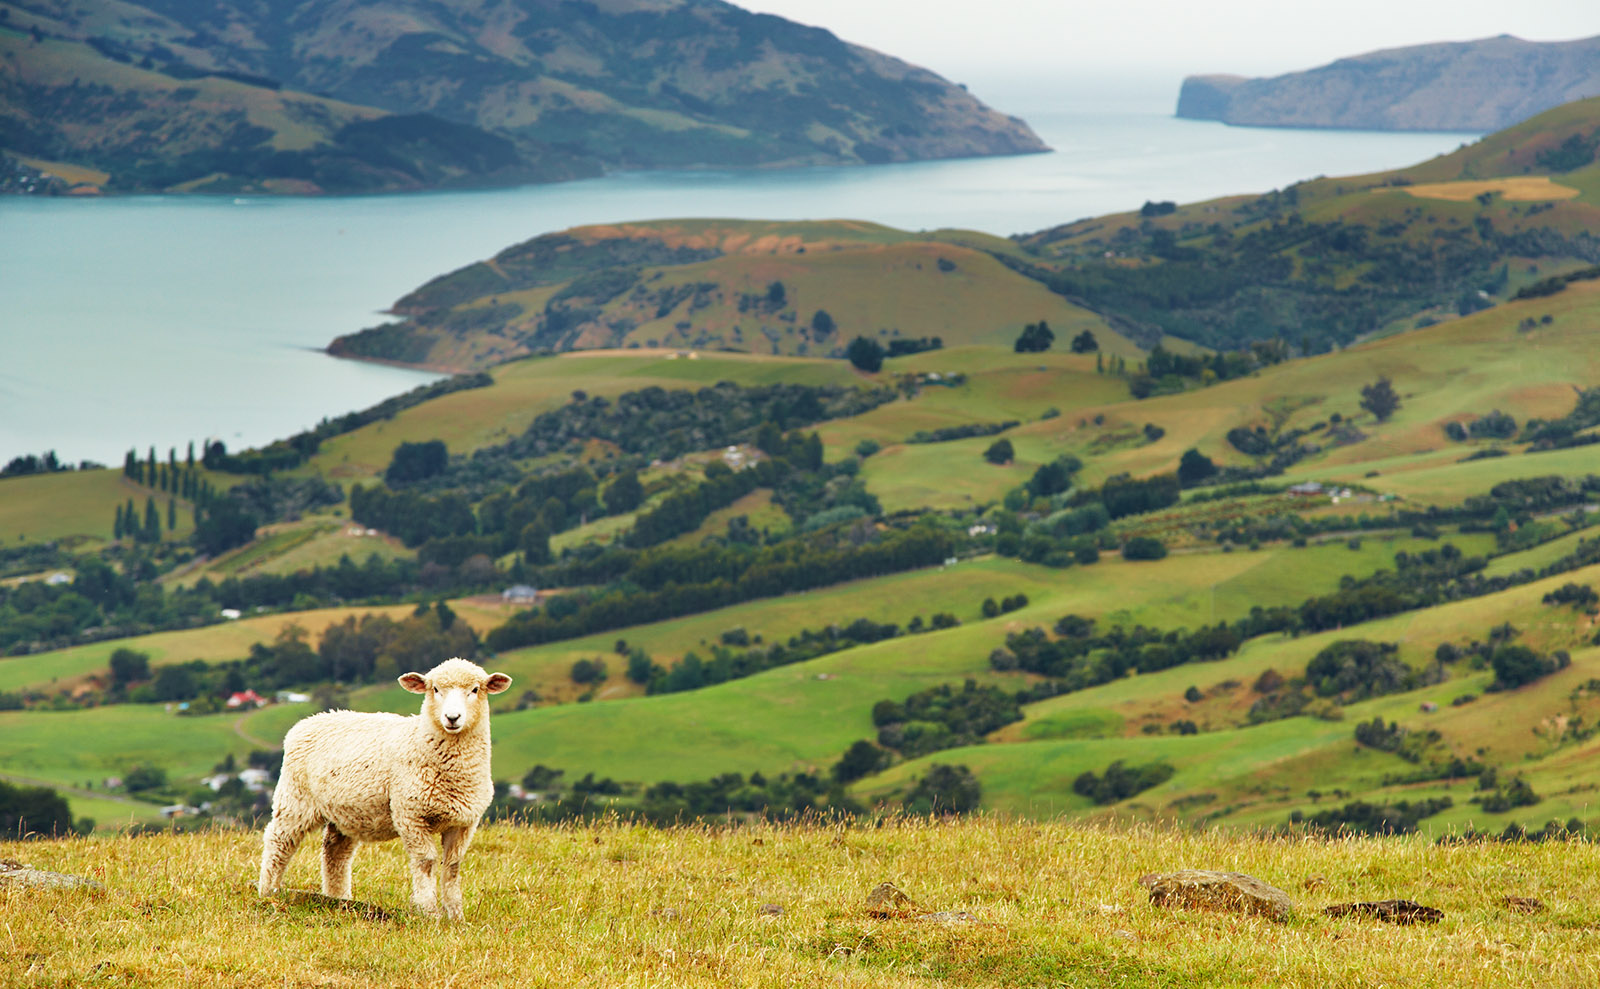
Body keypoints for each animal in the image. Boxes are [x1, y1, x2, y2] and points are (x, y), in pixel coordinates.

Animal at [256, 657, 512, 919]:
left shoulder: (464, 822)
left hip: (347, 812)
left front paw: (455, 915)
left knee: (335, 851)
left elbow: (452, 866)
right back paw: (269, 892)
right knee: (279, 841)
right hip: (295, 799)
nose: (452, 717)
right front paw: (428, 912)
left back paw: (338, 899)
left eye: (475, 690)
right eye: (435, 689)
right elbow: (426, 862)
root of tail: (309, 721)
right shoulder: (410, 815)